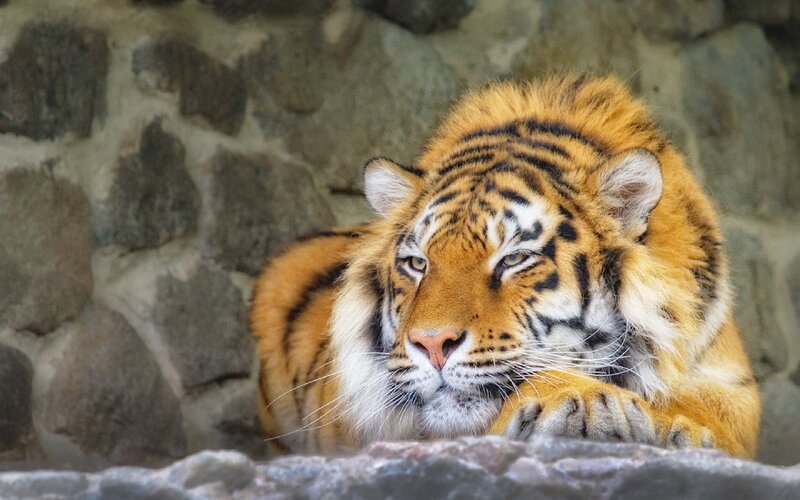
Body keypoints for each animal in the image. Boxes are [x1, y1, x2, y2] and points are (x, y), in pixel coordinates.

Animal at [250, 74, 760, 458]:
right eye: (417, 263)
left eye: (514, 258)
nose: (431, 344)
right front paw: (585, 401)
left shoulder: (731, 380)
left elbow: (713, 411)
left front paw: (681, 425)